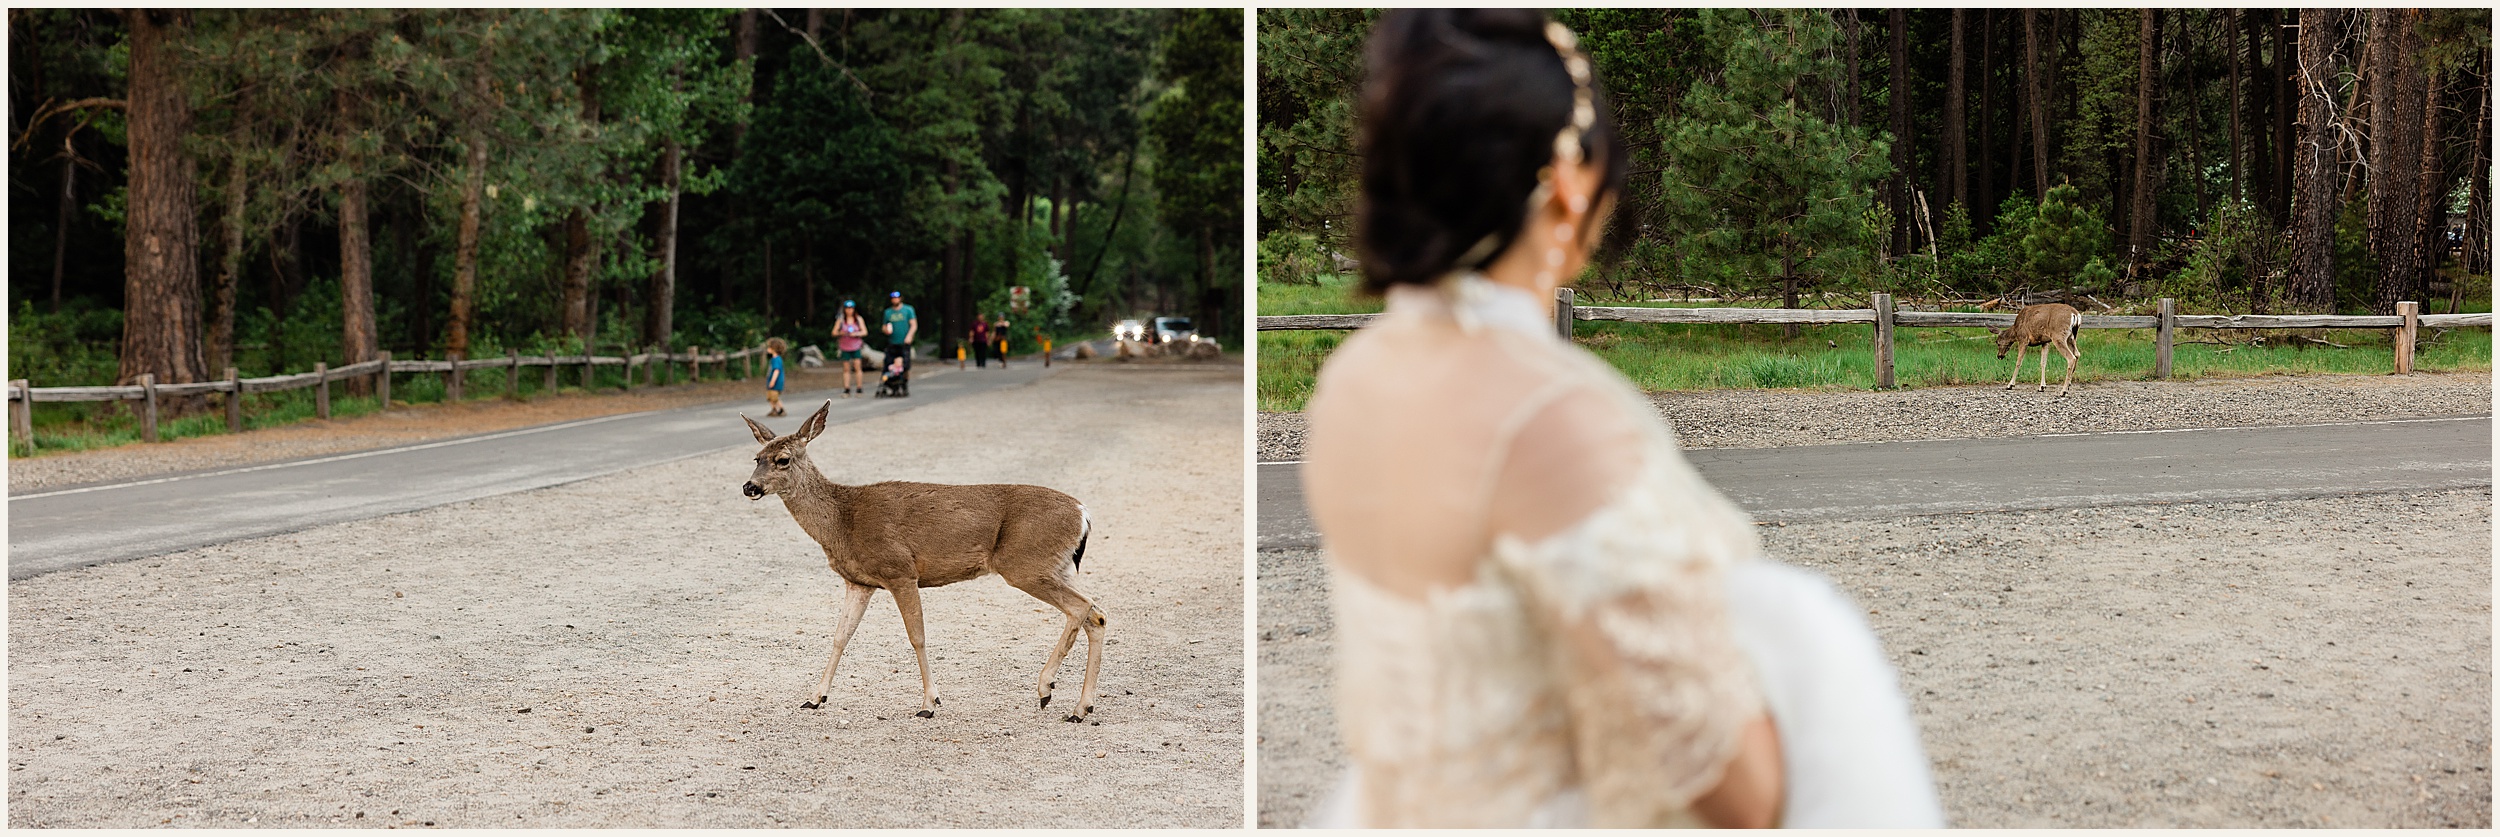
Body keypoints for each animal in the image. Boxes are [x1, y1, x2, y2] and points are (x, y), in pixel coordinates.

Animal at [730, 402, 1105, 724]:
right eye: (756, 457)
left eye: (782, 459)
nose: (749, 486)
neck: (842, 521)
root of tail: (1083, 513)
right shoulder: (859, 581)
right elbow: (840, 636)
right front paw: (814, 697)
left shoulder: (900, 571)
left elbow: (917, 636)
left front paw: (929, 703)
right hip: (1058, 566)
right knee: (1096, 614)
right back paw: (1080, 708)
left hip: (1026, 563)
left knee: (1081, 607)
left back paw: (1046, 688)